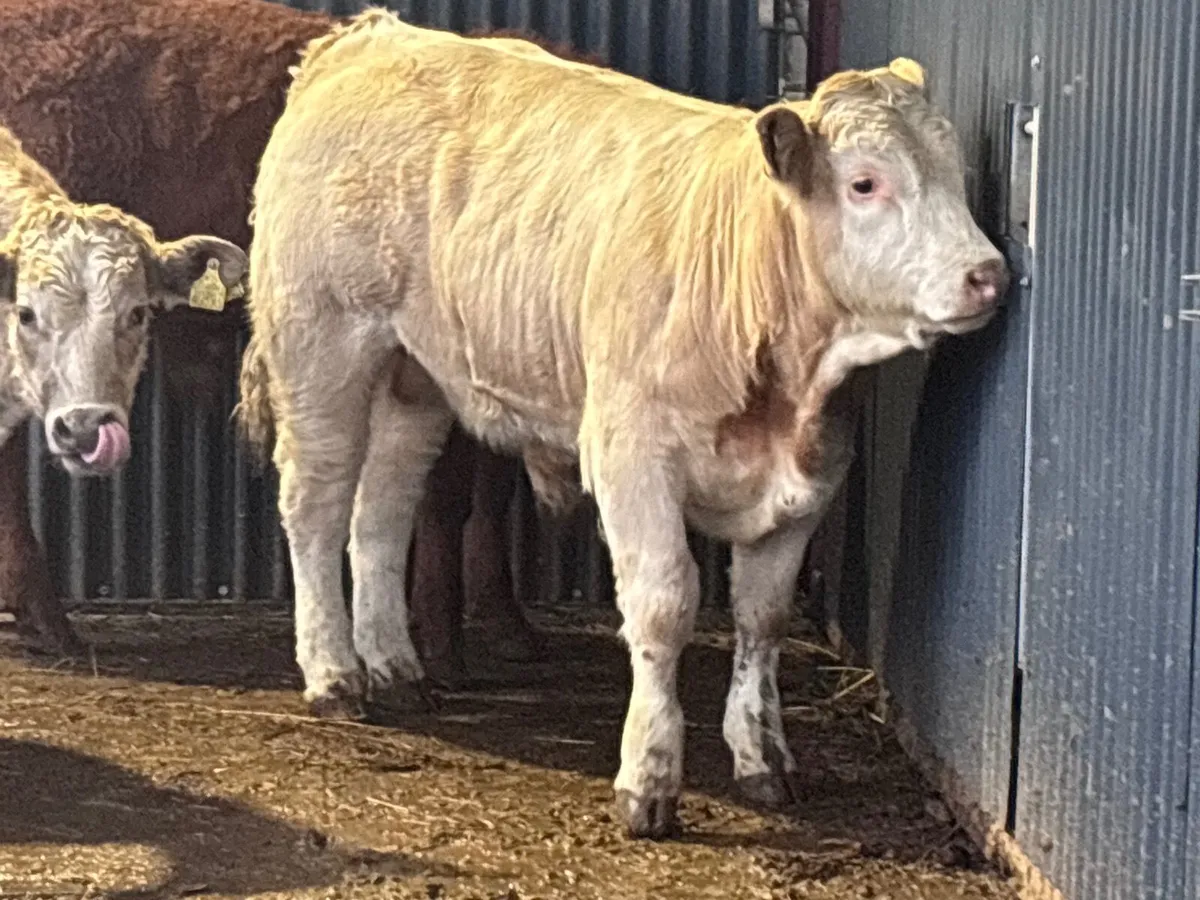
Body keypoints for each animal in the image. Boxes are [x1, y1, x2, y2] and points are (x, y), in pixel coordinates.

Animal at [238, 11, 1010, 839]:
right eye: (865, 182)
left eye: (957, 172)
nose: (988, 273)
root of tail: (370, 35)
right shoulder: (631, 453)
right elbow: (665, 604)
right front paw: (649, 777)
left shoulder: (812, 478)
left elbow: (762, 617)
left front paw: (761, 757)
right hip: (322, 342)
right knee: (315, 506)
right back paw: (333, 676)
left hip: (415, 377)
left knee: (380, 510)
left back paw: (395, 666)